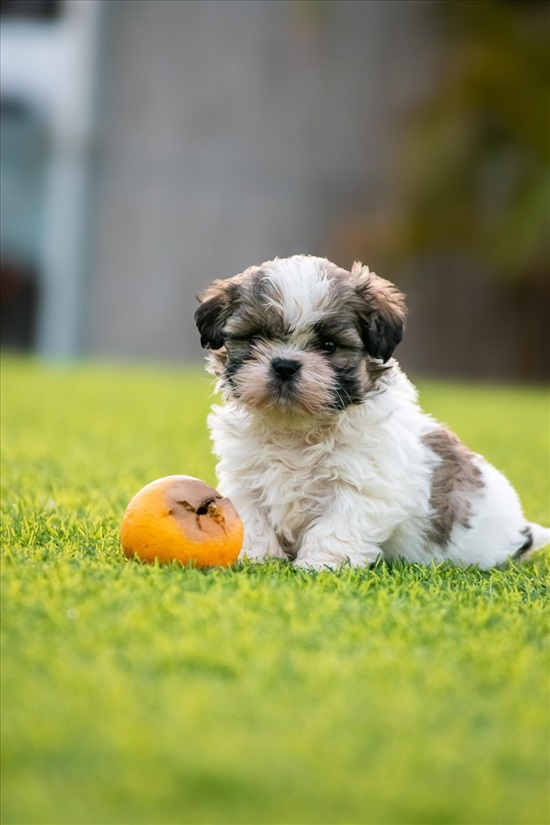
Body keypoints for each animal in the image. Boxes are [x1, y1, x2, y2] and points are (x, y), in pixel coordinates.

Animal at [194, 254, 548, 568]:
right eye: (255, 337)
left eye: (329, 346)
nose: (284, 366)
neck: (298, 427)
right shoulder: (245, 476)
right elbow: (251, 518)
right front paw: (255, 557)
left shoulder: (363, 484)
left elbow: (337, 525)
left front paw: (321, 566)